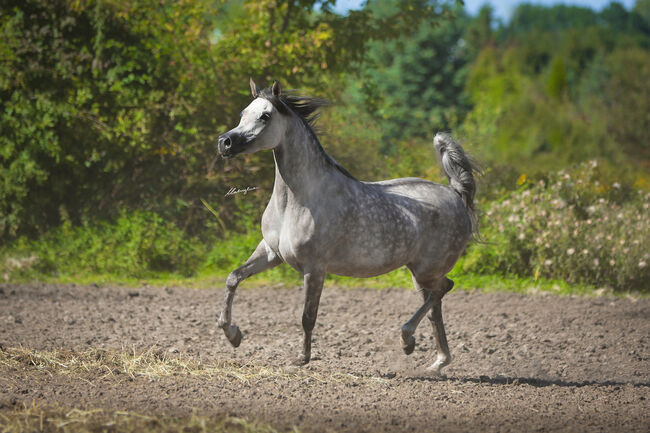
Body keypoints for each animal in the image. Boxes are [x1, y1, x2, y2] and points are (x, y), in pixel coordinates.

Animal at [216, 79, 479, 374]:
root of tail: (455, 194)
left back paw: (407, 339)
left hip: (427, 270)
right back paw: (435, 361)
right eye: (243, 113)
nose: (225, 143)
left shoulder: (315, 268)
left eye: (265, 116)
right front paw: (233, 335)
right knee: (435, 304)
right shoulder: (272, 254)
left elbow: (307, 316)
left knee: (444, 289)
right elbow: (233, 278)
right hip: (419, 273)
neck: (298, 200)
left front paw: (301, 358)